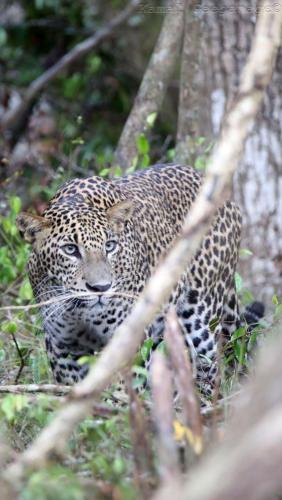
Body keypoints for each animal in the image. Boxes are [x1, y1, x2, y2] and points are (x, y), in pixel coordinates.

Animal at [16, 164, 264, 394]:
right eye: (70, 249)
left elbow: (121, 387)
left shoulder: (126, 339)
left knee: (213, 368)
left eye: (110, 246)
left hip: (201, 321)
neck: (79, 312)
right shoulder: (63, 347)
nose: (101, 288)